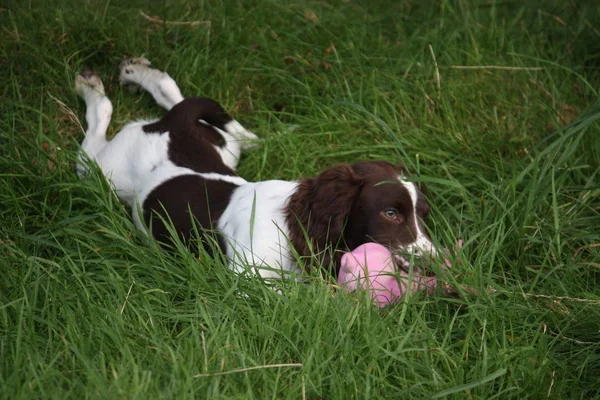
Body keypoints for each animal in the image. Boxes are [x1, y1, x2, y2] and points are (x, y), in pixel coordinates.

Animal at [75, 58, 436, 278]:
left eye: (423, 216)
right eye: (390, 213)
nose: (437, 266)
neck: (290, 227)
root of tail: (172, 126)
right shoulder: (252, 284)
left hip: (223, 147)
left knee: (181, 98)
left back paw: (140, 74)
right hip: (105, 173)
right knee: (95, 135)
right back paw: (91, 88)